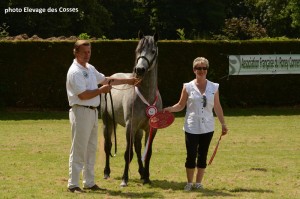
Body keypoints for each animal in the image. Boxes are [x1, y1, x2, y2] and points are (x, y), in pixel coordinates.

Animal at [100, 31, 162, 187]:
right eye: (137, 50)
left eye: (153, 51)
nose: (139, 69)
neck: (146, 96)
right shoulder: (130, 126)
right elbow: (128, 153)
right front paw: (124, 179)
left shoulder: (151, 128)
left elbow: (147, 153)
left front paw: (147, 177)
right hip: (107, 123)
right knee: (108, 146)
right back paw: (106, 172)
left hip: (138, 129)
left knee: (138, 148)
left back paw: (141, 173)